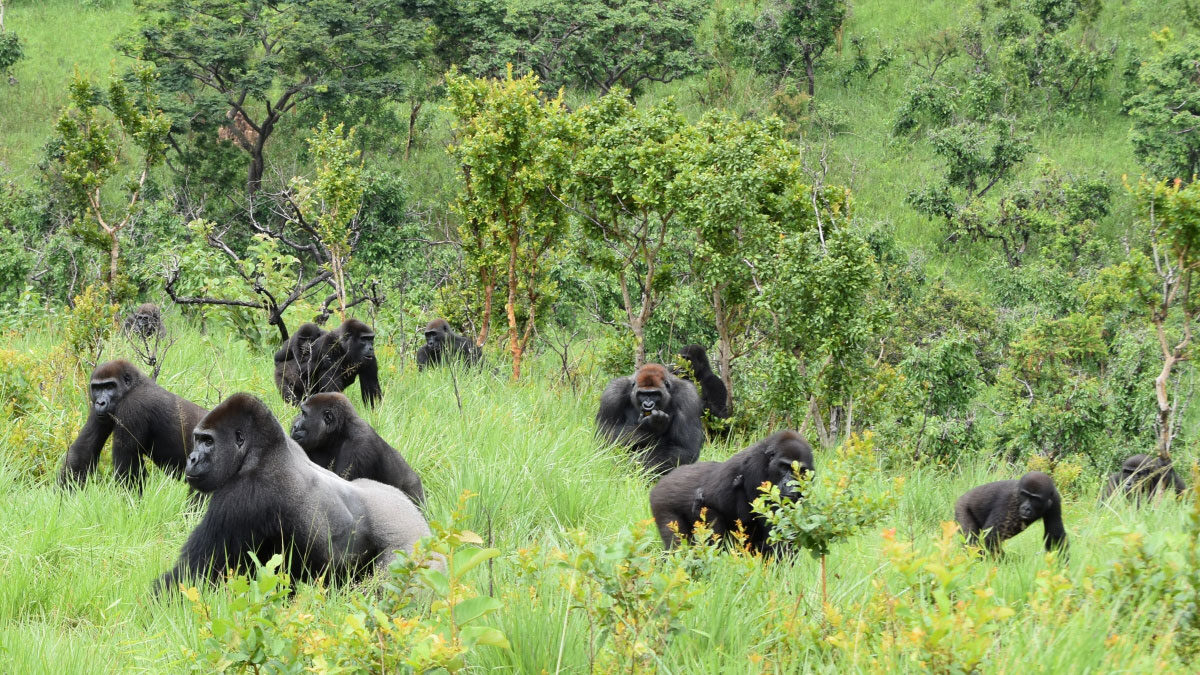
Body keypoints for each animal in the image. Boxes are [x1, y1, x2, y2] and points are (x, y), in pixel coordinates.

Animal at [59, 357, 208, 487]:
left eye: (110, 386)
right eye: (97, 388)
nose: (100, 403)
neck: (133, 387)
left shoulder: (132, 408)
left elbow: (127, 466)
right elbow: (84, 450)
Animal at [154, 391, 436, 590]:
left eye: (208, 441)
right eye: (198, 439)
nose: (192, 459)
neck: (260, 452)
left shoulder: (243, 496)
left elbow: (193, 573)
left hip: (408, 551)